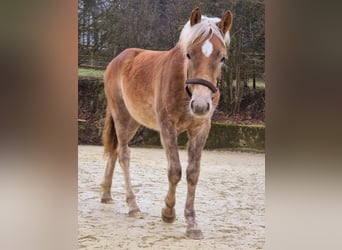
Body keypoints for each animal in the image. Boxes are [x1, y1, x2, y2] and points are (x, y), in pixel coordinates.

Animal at [99, 6, 232, 239]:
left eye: (222, 58)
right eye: (189, 54)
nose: (200, 105)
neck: (184, 84)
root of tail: (118, 59)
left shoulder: (200, 129)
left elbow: (192, 173)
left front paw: (191, 223)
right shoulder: (167, 127)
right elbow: (175, 171)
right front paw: (168, 212)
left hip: (134, 121)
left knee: (114, 152)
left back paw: (106, 194)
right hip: (121, 116)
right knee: (123, 154)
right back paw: (132, 206)